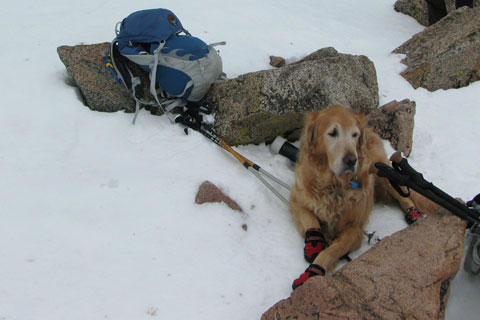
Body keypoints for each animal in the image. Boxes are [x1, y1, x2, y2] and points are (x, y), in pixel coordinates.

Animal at [288, 105, 436, 290]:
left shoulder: (355, 229)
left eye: (355, 134)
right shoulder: (297, 200)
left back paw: (413, 213)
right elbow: (311, 221)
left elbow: (334, 248)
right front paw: (314, 243)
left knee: (403, 195)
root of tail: (372, 130)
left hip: (382, 170)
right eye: (332, 133)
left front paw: (314, 270)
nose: (352, 160)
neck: (334, 185)